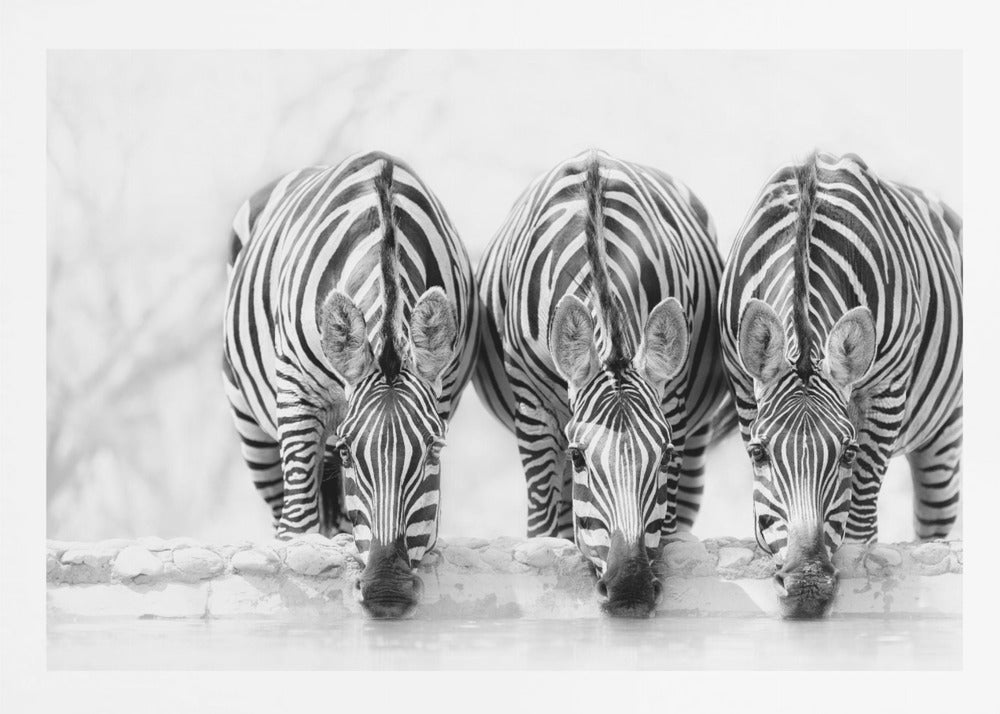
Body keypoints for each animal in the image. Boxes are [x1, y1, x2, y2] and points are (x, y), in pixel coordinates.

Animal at [223, 151, 478, 618]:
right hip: (251, 426)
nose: (386, 592)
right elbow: (297, 527)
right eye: (347, 452)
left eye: (434, 450)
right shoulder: (297, 393)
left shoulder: (444, 393)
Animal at [474, 149, 730, 617]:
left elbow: (666, 523)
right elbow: (543, 525)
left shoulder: (675, 406)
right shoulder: (533, 409)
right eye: (579, 457)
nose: (629, 590)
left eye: (664, 456)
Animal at [719, 152, 962, 618]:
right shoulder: (743, 388)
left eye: (847, 452)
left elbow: (861, 505)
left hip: (946, 432)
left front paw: (858, 567)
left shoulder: (887, 391)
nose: (807, 586)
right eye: (758, 453)